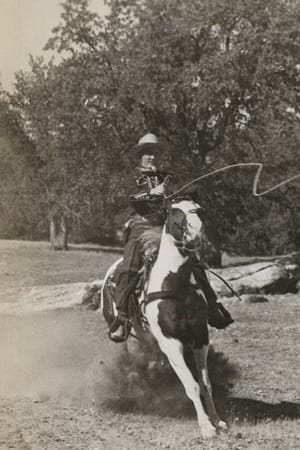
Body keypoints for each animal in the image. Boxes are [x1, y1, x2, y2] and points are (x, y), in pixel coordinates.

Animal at [101, 199, 227, 438]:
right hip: (124, 334)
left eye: (199, 209)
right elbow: (191, 384)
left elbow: (205, 383)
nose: (197, 232)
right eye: (173, 212)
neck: (176, 283)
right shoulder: (170, 342)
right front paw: (206, 427)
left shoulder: (200, 338)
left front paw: (217, 420)